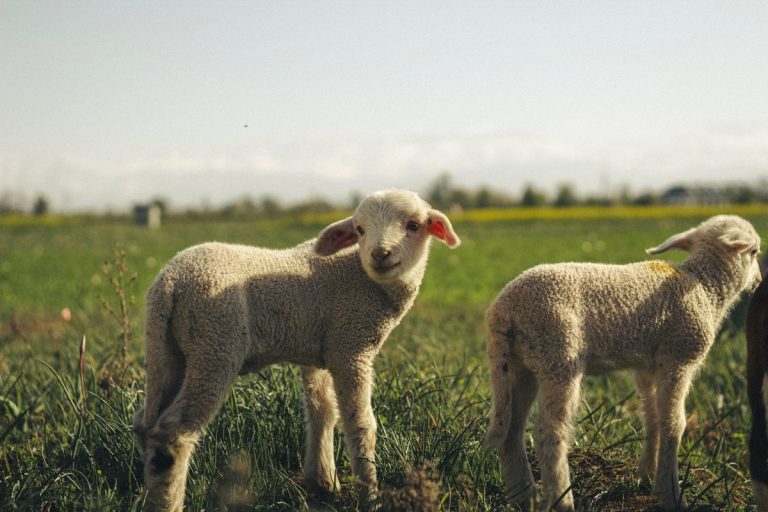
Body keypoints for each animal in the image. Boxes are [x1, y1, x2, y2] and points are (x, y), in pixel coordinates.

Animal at [131, 189, 460, 511]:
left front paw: (324, 482)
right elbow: (360, 424)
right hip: (215, 343)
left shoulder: (321, 350)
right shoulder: (350, 347)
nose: (379, 254)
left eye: (413, 225)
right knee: (173, 433)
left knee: (145, 423)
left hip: (169, 348)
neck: (363, 278)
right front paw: (370, 496)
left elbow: (322, 410)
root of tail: (170, 282)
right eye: (360, 229)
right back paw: (169, 502)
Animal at [485, 215, 761, 511]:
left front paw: (647, 477)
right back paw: (562, 499)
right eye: (755, 252)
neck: (704, 287)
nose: (759, 280)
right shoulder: (679, 357)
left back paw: (524, 498)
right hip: (558, 354)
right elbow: (674, 423)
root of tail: (503, 310)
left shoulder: (647, 367)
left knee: (512, 431)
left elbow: (653, 418)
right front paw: (671, 494)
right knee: (548, 433)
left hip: (520, 365)